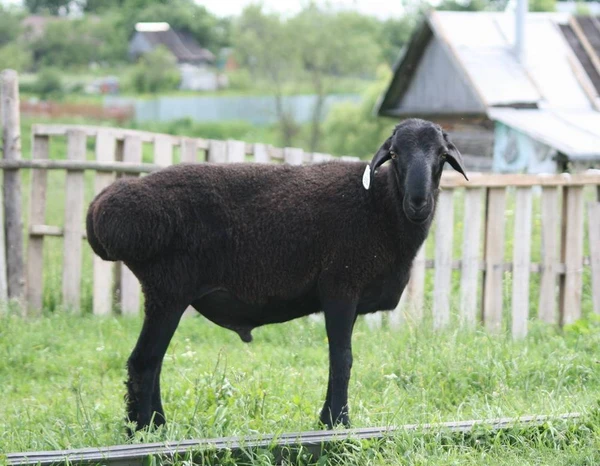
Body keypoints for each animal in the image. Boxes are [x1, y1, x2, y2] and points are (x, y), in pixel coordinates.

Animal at [85, 118, 468, 432]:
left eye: (440, 155)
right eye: (395, 153)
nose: (418, 201)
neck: (382, 206)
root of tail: (99, 209)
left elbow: (338, 357)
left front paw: (329, 420)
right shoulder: (340, 285)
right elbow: (342, 357)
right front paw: (338, 423)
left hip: (166, 292)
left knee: (152, 362)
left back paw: (155, 426)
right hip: (168, 288)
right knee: (144, 362)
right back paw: (144, 431)